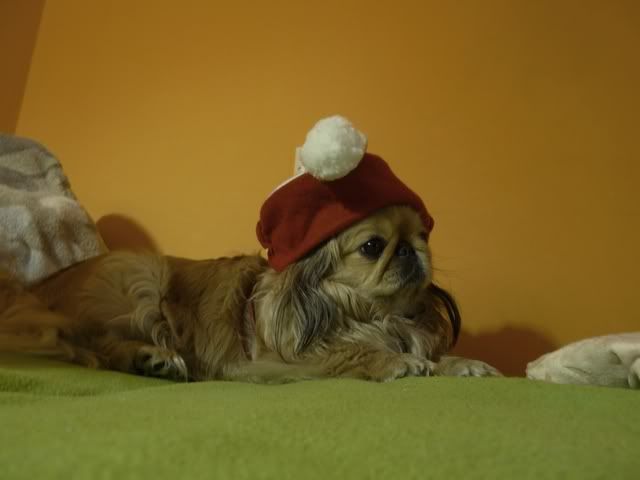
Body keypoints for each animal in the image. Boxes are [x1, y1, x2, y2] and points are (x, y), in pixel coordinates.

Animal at [0, 205, 499, 382]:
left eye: (424, 236)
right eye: (373, 247)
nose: (413, 251)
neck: (373, 315)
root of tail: (38, 290)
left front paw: (461, 363)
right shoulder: (275, 362)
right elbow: (347, 354)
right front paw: (396, 362)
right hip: (142, 277)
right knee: (96, 346)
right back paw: (151, 358)